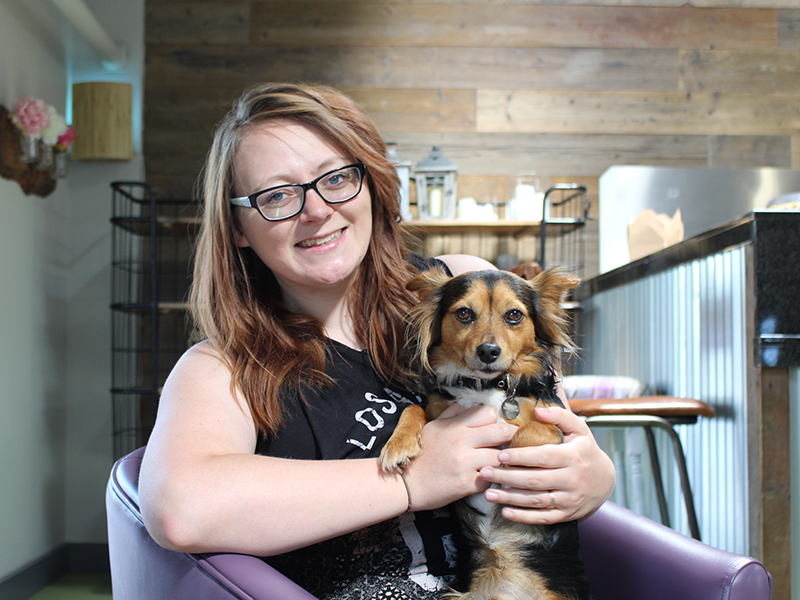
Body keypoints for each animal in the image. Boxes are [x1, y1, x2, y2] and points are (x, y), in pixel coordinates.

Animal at [378, 268, 592, 600]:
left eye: (514, 315)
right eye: (464, 313)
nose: (488, 351)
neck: (486, 387)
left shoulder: (554, 428)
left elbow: (526, 433)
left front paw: (510, 465)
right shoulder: (438, 406)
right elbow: (414, 408)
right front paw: (398, 446)